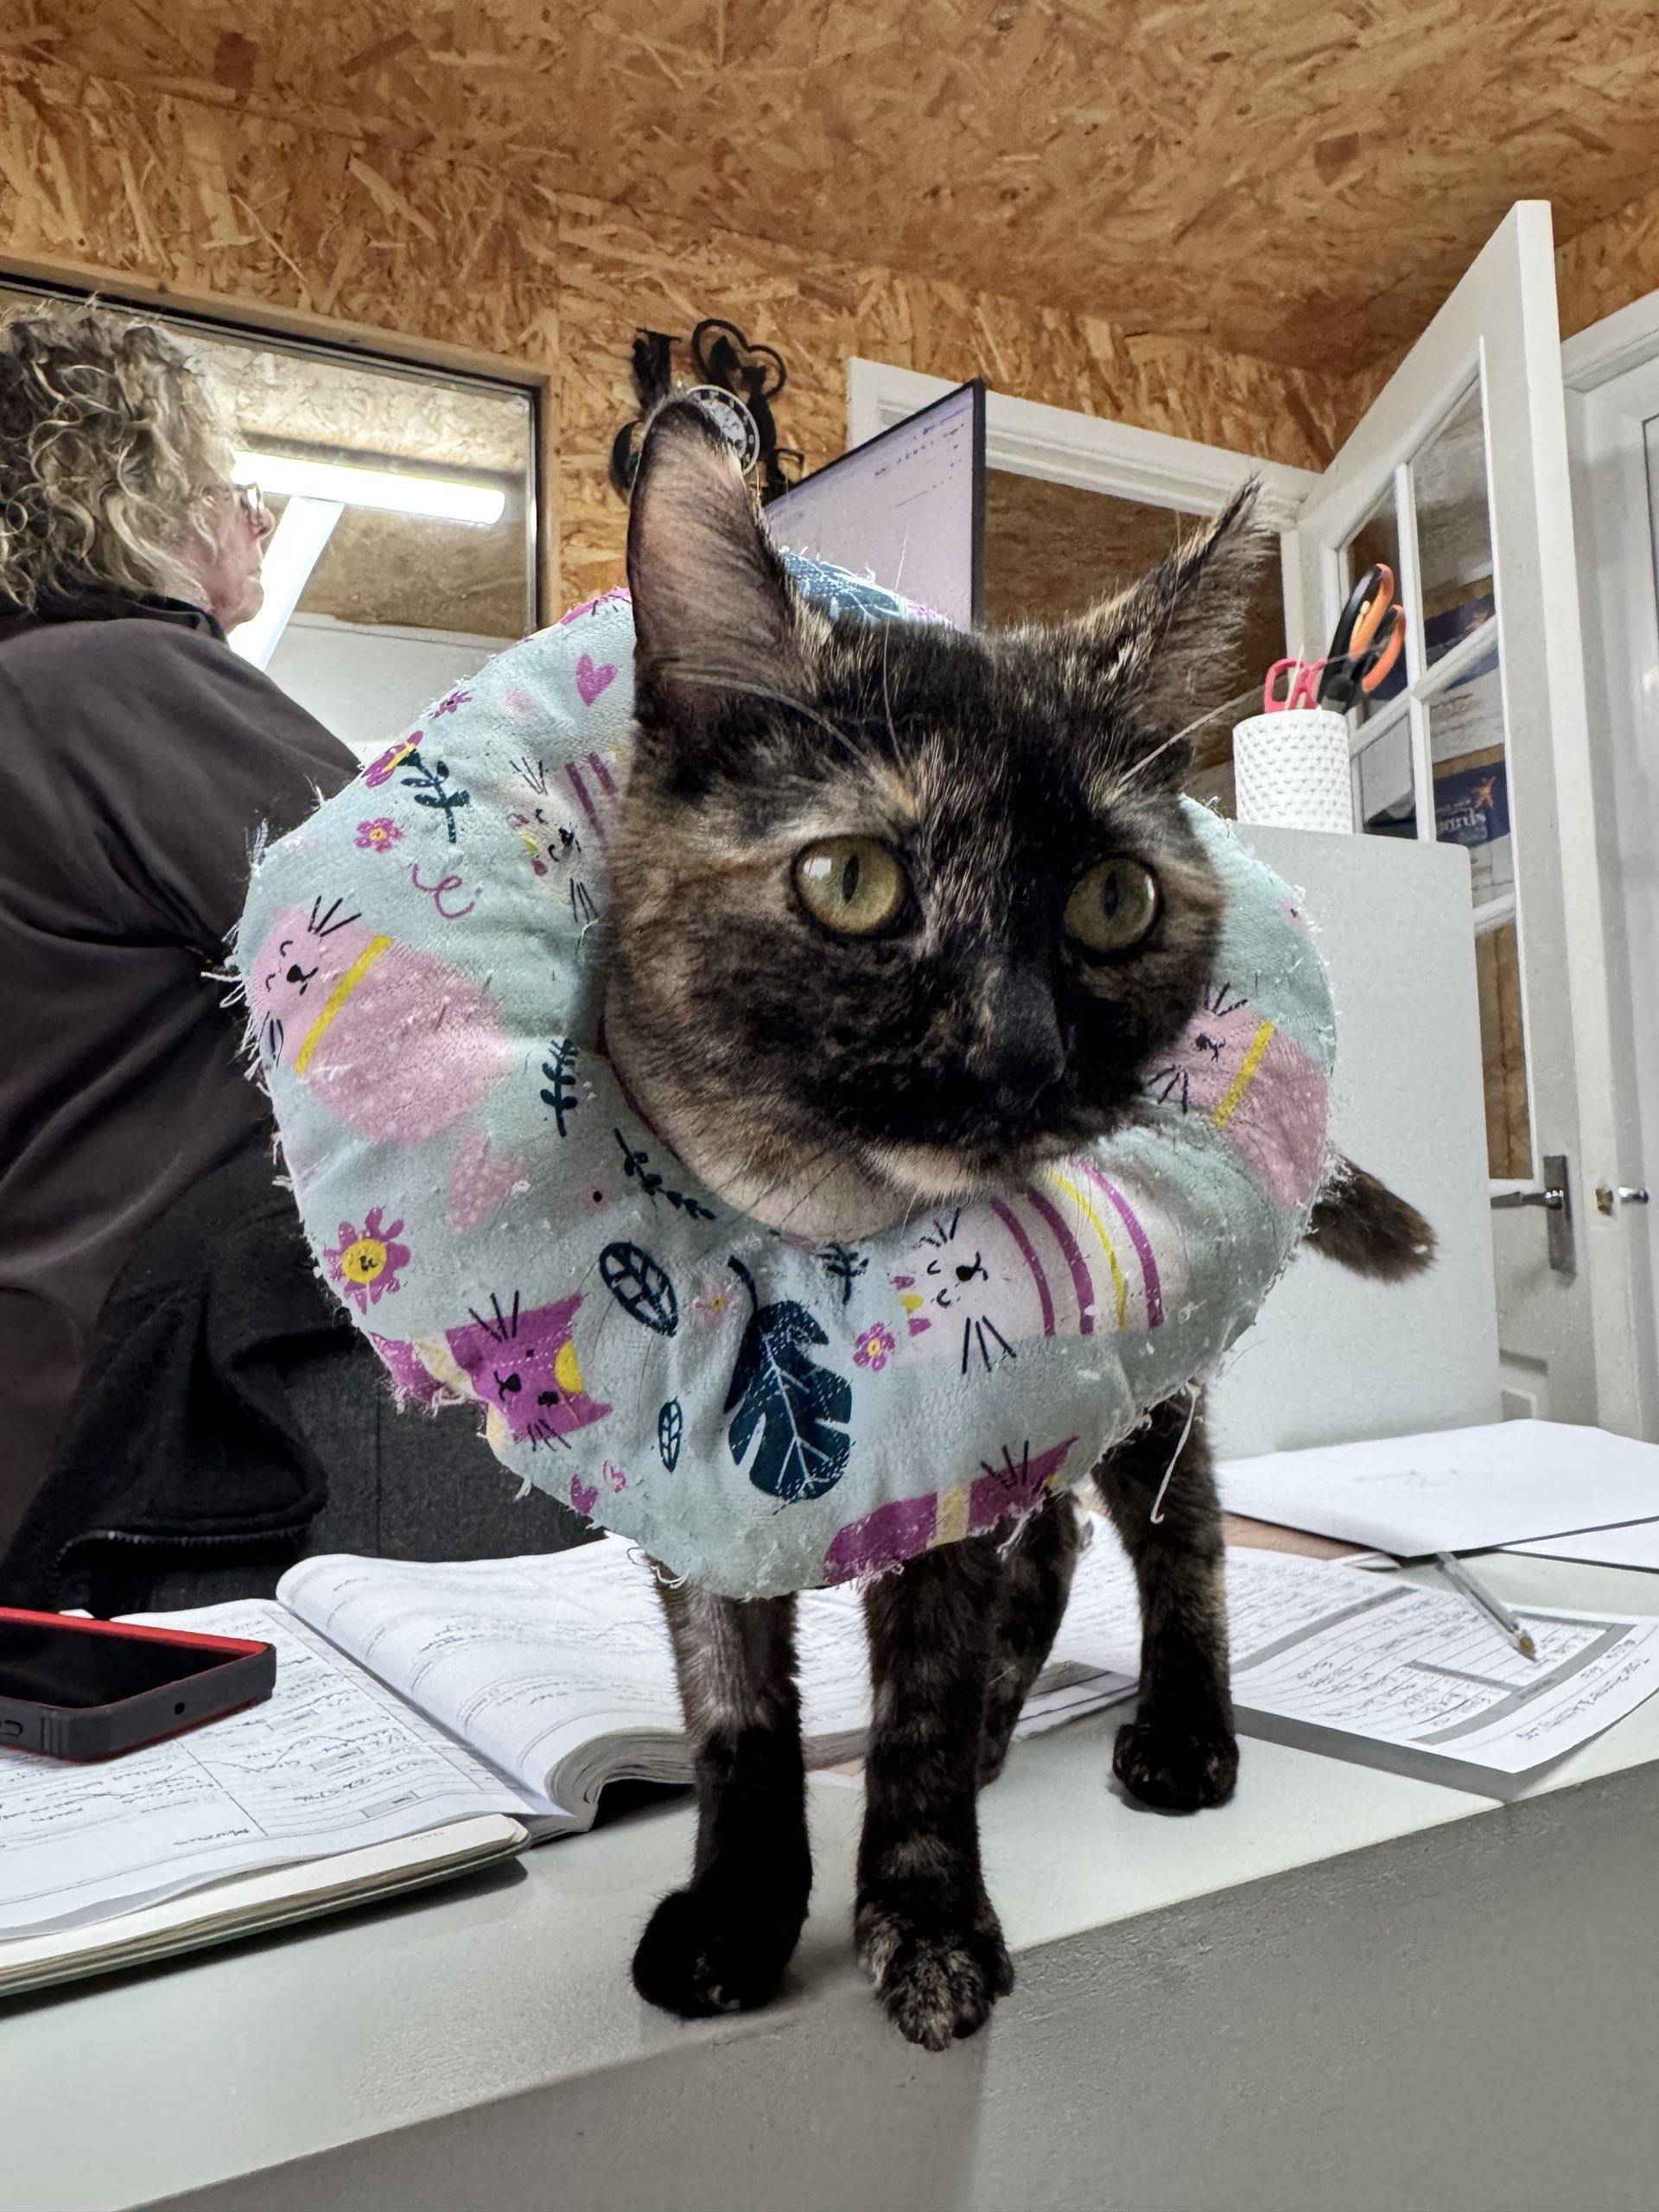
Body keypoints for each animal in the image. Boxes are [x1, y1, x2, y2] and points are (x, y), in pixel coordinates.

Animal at [603, 398, 1433, 2050]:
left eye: (1114, 901)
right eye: (853, 881)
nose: (1023, 1053)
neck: (821, 1218)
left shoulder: (963, 1439)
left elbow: (918, 1701)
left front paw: (926, 1921)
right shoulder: (691, 1476)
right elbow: (731, 1707)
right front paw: (739, 1911)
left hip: (1144, 1382)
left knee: (1175, 1535)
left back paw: (1181, 1733)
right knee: (1050, 1535)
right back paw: (1009, 1714)